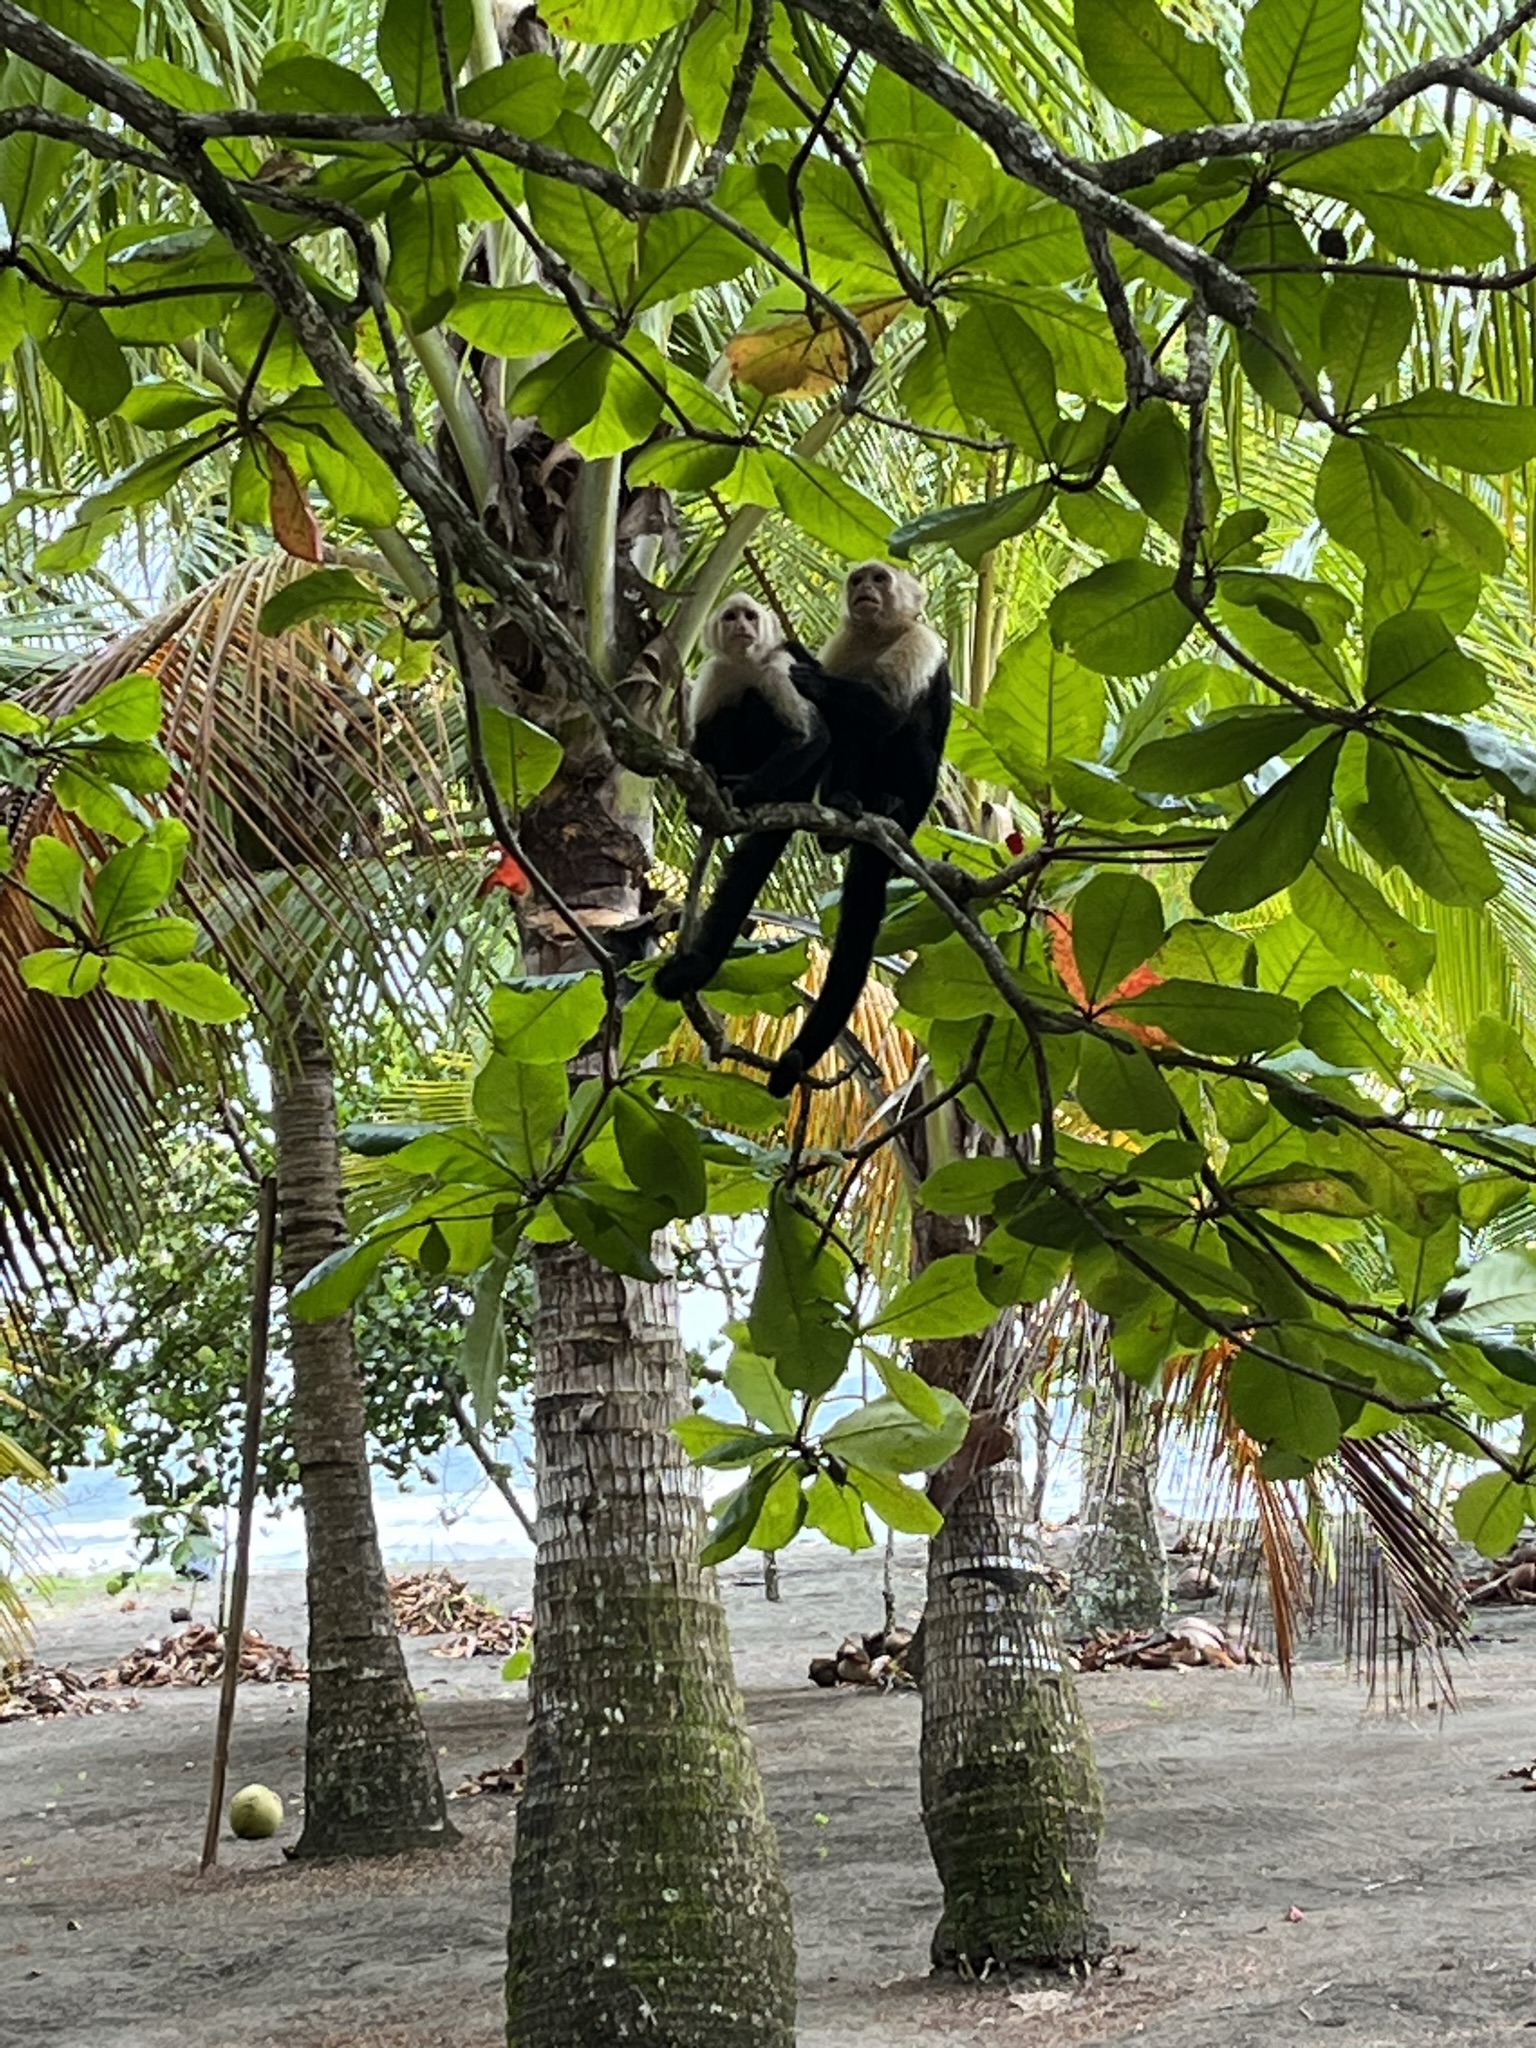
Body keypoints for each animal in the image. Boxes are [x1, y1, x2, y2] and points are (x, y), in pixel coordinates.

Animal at [652, 595, 829, 1002]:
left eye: (750, 616)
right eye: (730, 617)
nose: (742, 627)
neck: (747, 662)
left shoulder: (781, 669)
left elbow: (812, 738)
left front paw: (744, 793)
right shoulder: (716, 672)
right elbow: (701, 737)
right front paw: (705, 791)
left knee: (753, 700)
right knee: (727, 711)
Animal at [766, 561, 952, 1099]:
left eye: (880, 579)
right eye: (858, 580)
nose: (865, 589)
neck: (877, 635)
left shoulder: (921, 640)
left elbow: (887, 712)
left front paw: (813, 679)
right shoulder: (844, 643)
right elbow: (833, 728)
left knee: (909, 732)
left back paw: (891, 808)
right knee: (849, 738)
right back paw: (841, 813)